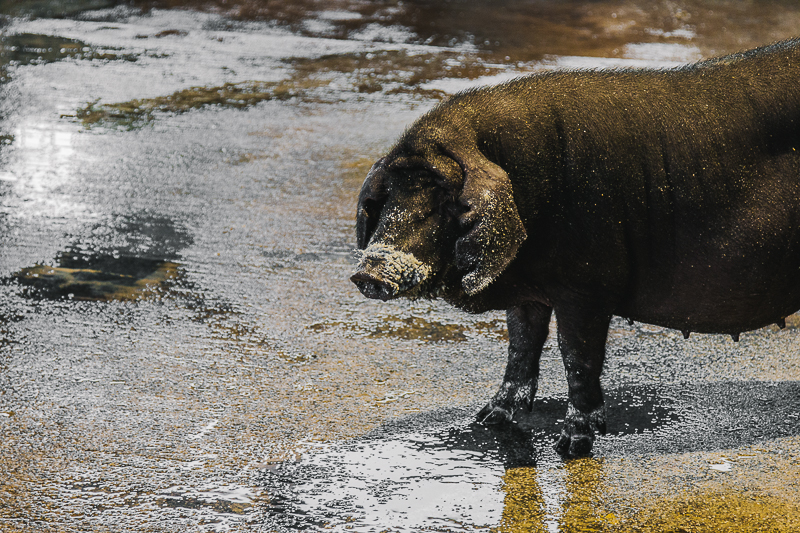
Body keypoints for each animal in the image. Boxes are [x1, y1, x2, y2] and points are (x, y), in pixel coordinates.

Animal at [354, 40, 800, 458]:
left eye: (443, 200)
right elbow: (521, 347)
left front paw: (572, 446)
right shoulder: (530, 293)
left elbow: (577, 357)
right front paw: (489, 419)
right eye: (388, 196)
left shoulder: (587, 284)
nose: (368, 271)